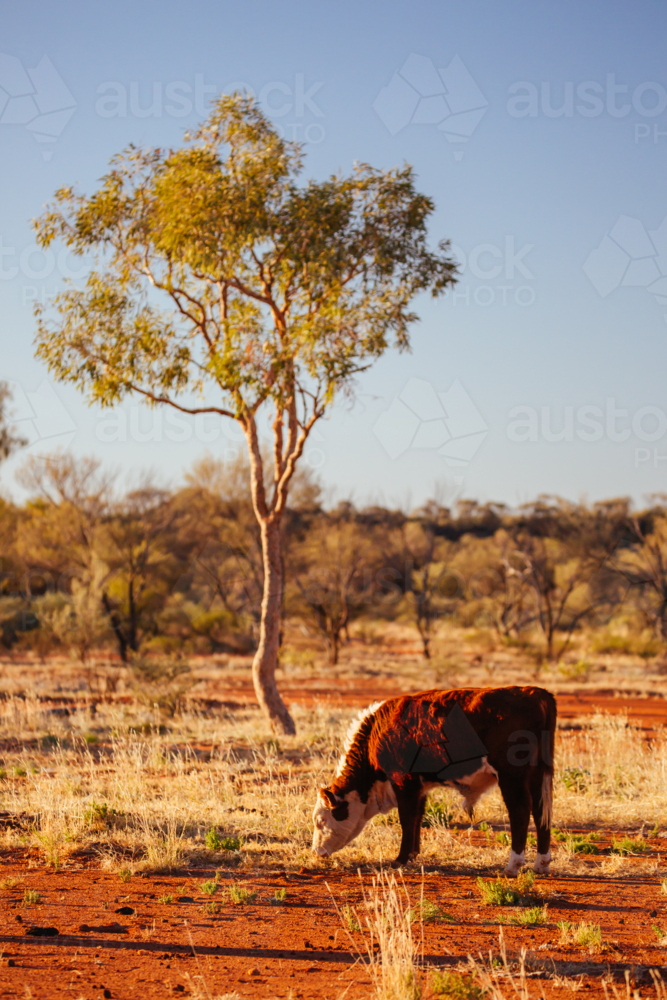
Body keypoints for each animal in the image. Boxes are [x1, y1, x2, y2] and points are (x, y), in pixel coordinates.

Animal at [312, 686, 556, 876]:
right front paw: (412, 854)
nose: (316, 851)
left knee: (520, 811)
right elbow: (417, 817)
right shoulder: (419, 786)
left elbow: (407, 818)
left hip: (512, 777)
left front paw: (400, 859)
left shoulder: (403, 781)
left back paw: (513, 865)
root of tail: (536, 693)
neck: (378, 731)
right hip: (537, 777)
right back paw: (541, 864)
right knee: (541, 812)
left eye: (321, 821)